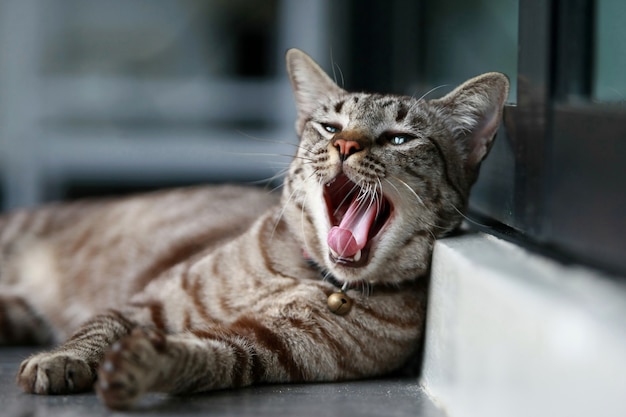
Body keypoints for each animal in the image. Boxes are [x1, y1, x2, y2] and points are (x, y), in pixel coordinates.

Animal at [0, 47, 504, 408]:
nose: (344, 145)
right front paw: (61, 359)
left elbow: (203, 356)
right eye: (329, 126)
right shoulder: (147, 303)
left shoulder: (261, 347)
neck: (311, 277)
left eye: (400, 138)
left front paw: (145, 363)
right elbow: (97, 330)